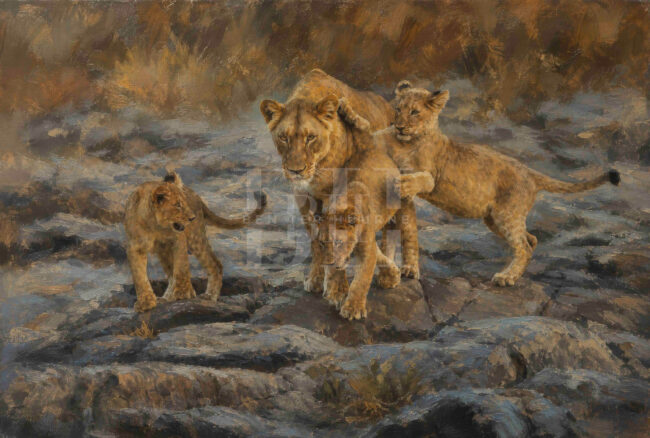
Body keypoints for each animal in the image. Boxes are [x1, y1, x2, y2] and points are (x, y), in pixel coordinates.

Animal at [124, 172, 267, 312]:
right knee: (171, 274)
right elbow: (139, 276)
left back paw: (209, 296)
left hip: (195, 238)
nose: (192, 218)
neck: (155, 225)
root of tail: (195, 194)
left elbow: (181, 267)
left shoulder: (178, 239)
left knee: (215, 264)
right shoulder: (135, 247)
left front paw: (183, 293)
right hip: (164, 251)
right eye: (177, 205)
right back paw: (167, 298)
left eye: (184, 202)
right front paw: (146, 302)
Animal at [260, 69, 422, 297]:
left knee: (408, 224)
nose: (295, 170)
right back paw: (387, 271)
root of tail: (390, 106)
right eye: (284, 137)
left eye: (311, 137)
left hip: (400, 184)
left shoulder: (338, 194)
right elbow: (316, 240)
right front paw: (316, 279)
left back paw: (409, 268)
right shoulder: (303, 198)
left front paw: (337, 288)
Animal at [316, 100, 434, 320]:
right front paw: (336, 291)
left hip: (403, 206)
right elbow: (375, 256)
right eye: (321, 243)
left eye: (338, 242)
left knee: (410, 238)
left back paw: (410, 269)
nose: (328, 262)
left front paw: (353, 309)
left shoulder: (366, 245)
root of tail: (370, 148)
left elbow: (362, 279)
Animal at [375, 80, 620, 286]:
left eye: (414, 112)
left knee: (523, 246)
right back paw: (514, 272)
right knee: (531, 240)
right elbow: (404, 231)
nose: (399, 126)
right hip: (494, 218)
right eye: (398, 109)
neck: (407, 143)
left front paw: (403, 184)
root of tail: (530, 172)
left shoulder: (432, 176)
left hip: (507, 215)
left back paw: (506, 277)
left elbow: (418, 183)